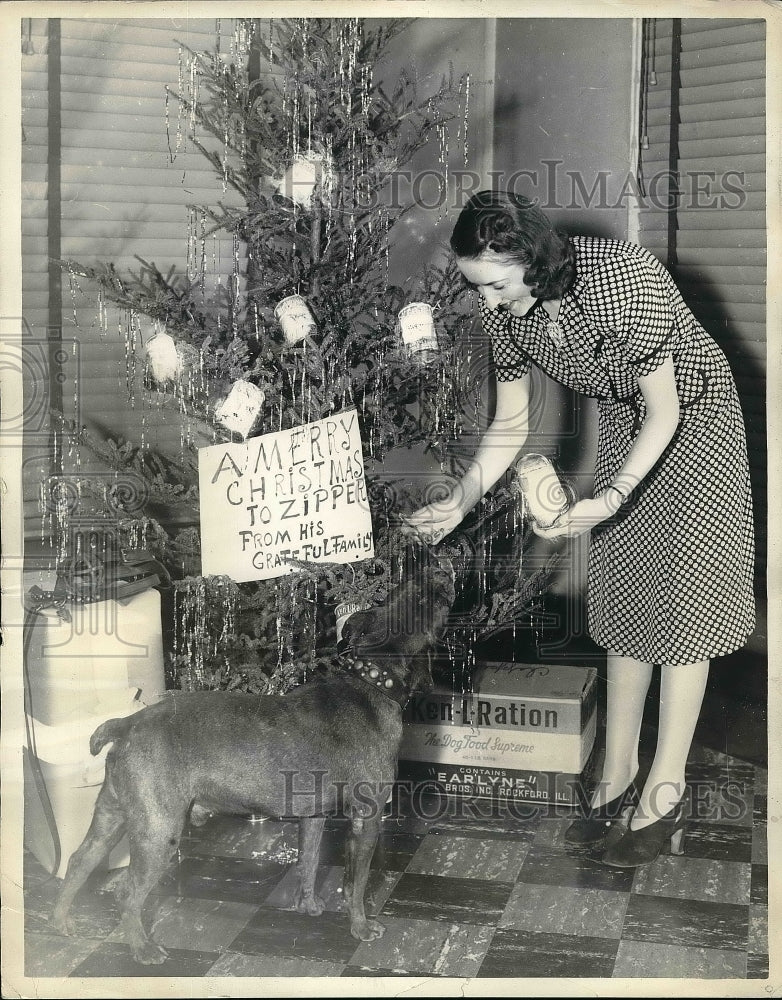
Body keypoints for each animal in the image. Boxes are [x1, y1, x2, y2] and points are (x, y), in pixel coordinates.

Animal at [52, 544, 456, 964]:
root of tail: (127, 723)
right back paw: (142, 949)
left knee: (79, 861)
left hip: (112, 816)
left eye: (400, 588)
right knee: (127, 892)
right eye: (426, 598)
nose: (438, 559)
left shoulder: (313, 817)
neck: (371, 682)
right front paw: (360, 927)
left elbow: (308, 862)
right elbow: (355, 883)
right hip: (158, 831)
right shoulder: (367, 818)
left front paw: (308, 906)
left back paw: (61, 921)